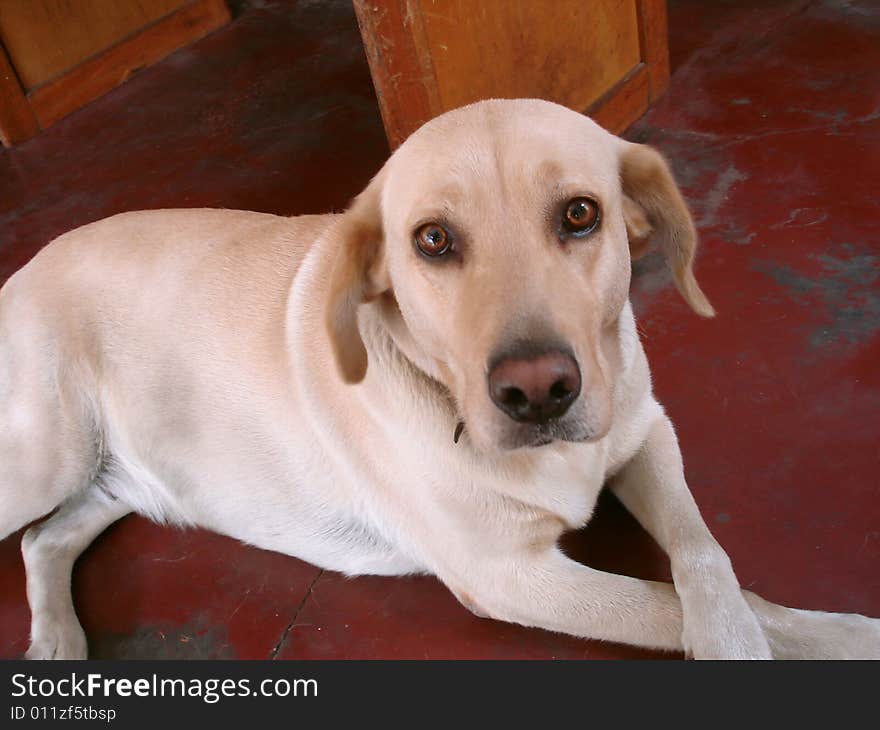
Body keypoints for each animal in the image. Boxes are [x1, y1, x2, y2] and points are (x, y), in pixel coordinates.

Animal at [1, 96, 880, 656]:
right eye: (432, 240)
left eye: (580, 215)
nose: (537, 392)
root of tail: (24, 266)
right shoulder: (511, 577)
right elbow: (688, 603)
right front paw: (834, 638)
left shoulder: (643, 435)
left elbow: (707, 558)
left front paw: (731, 634)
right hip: (47, 458)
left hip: (114, 478)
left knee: (48, 539)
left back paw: (57, 642)